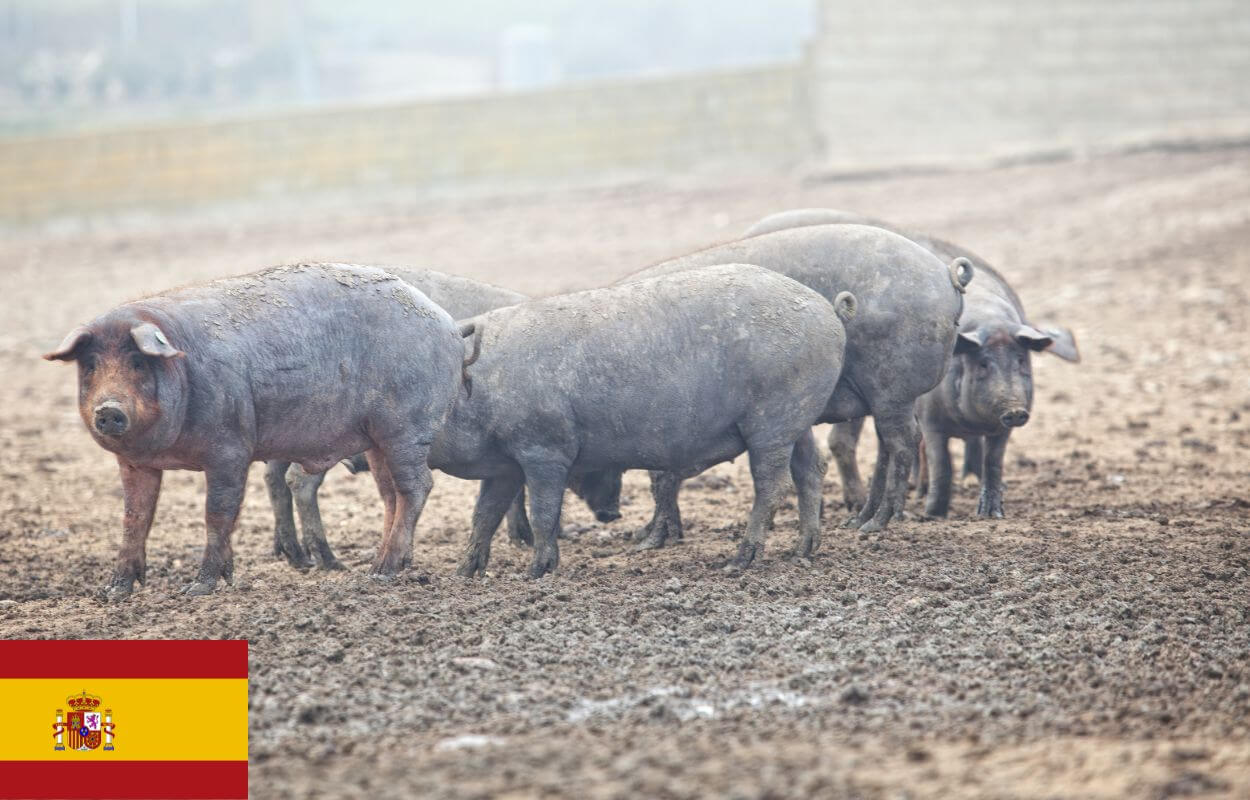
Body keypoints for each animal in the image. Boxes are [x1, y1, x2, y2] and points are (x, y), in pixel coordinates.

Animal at [45, 262, 470, 595]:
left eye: (136, 362)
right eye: (91, 365)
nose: (108, 410)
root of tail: (448, 324)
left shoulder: (229, 449)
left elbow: (218, 512)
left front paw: (198, 588)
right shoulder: (134, 463)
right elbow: (135, 518)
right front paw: (114, 592)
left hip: (407, 428)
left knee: (416, 487)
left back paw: (382, 572)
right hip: (377, 439)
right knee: (390, 495)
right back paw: (379, 567)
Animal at [445, 265, 855, 577]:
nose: (613, 514)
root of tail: (828, 310)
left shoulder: (544, 448)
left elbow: (543, 511)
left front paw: (534, 574)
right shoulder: (506, 465)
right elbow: (484, 514)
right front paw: (464, 574)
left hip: (772, 420)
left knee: (773, 485)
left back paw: (738, 562)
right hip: (796, 418)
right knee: (811, 469)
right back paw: (803, 551)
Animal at [740, 207, 1075, 520]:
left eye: (1022, 361)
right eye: (981, 365)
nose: (1015, 410)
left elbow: (988, 456)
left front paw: (988, 509)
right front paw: (932, 510)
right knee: (841, 442)